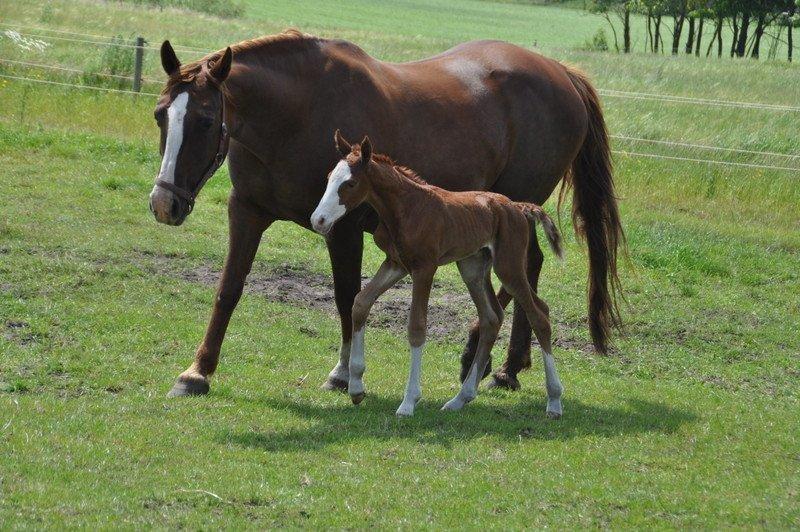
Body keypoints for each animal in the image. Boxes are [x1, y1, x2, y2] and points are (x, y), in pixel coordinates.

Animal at [310, 132, 564, 416]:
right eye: (329, 178)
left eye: (350, 183)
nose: (318, 220)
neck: (406, 208)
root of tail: (517, 207)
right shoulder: (395, 264)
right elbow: (361, 302)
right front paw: (355, 388)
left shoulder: (424, 268)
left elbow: (417, 327)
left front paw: (409, 401)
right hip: (472, 267)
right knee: (491, 318)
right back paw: (460, 398)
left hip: (508, 267)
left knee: (539, 315)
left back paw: (554, 401)